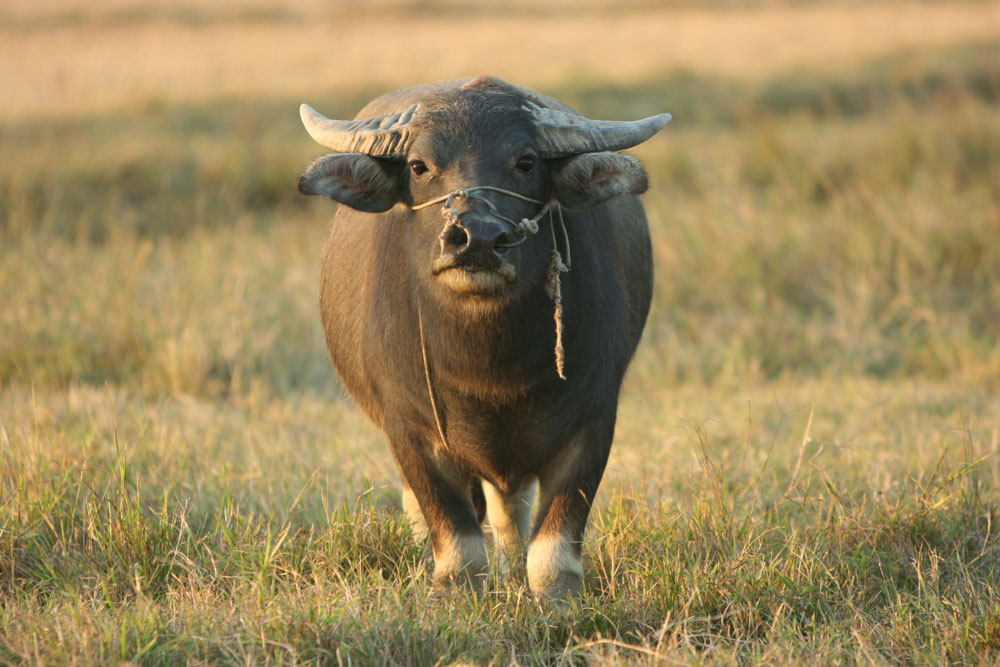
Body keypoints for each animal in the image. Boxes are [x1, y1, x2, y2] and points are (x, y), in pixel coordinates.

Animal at [296, 75, 672, 596]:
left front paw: (556, 600)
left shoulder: (593, 421)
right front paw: (454, 592)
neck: (490, 368)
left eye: (526, 162)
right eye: (419, 166)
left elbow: (554, 548)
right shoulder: (409, 429)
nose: (476, 238)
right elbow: (458, 544)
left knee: (509, 511)